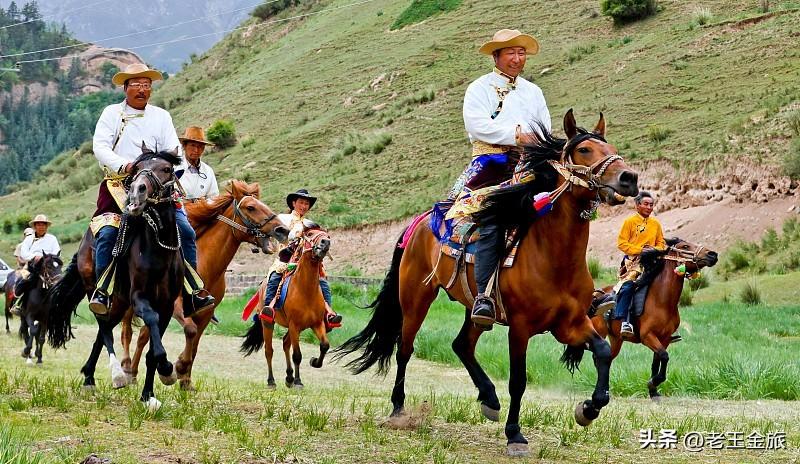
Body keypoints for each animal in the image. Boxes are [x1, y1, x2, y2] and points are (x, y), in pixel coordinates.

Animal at [48, 147, 186, 409]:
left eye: (166, 169)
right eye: (137, 168)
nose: (137, 191)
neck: (158, 250)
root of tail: (84, 244)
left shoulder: (166, 305)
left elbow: (152, 352)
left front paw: (149, 394)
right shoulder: (139, 298)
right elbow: (150, 324)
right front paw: (166, 368)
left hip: (120, 302)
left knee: (102, 333)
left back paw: (89, 377)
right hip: (98, 291)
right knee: (103, 326)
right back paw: (116, 374)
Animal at [119, 180, 290, 389]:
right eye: (251, 207)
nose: (282, 230)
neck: (205, 265)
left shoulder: (206, 312)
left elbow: (195, 344)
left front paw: (186, 381)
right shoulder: (177, 306)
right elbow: (189, 331)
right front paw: (178, 367)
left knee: (143, 334)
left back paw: (134, 372)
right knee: (127, 331)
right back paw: (127, 369)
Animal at [241, 224, 332, 388]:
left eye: (328, 236)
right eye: (310, 234)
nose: (325, 242)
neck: (306, 290)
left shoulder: (317, 323)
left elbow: (324, 345)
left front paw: (314, 362)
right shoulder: (294, 325)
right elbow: (297, 355)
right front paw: (298, 381)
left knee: (285, 343)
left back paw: (289, 377)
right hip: (268, 323)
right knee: (269, 350)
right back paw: (272, 381)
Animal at [334, 110, 640, 456]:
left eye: (611, 147)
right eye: (585, 150)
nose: (629, 178)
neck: (554, 257)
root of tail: (420, 221)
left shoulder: (570, 324)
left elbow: (602, 350)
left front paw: (588, 409)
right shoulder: (520, 327)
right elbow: (518, 380)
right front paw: (515, 434)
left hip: (477, 310)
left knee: (461, 344)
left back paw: (489, 399)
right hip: (416, 298)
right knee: (405, 349)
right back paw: (399, 408)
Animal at [590, 238, 718, 399]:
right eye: (685, 246)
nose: (712, 254)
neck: (661, 301)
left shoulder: (664, 338)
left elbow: (657, 361)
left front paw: (653, 390)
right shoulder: (647, 336)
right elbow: (664, 356)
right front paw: (653, 382)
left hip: (616, 339)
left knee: (606, 359)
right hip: (600, 334)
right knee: (598, 358)